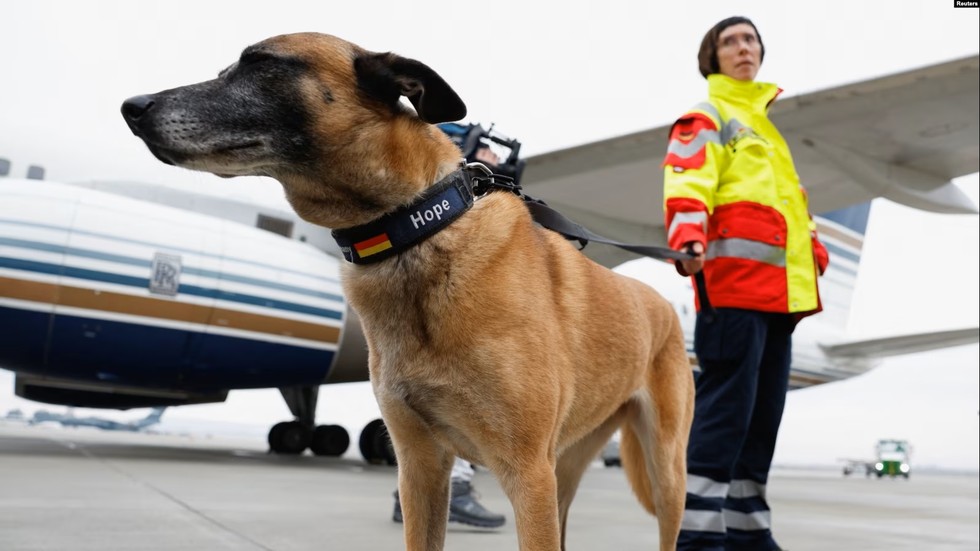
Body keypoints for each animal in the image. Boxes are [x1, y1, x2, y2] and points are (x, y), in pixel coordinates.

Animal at [122, 32, 696, 548]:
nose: (131, 106)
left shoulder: (526, 473)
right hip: (568, 468)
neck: (414, 231)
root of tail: (665, 305)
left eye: (261, 64)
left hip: (666, 473)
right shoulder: (422, 468)